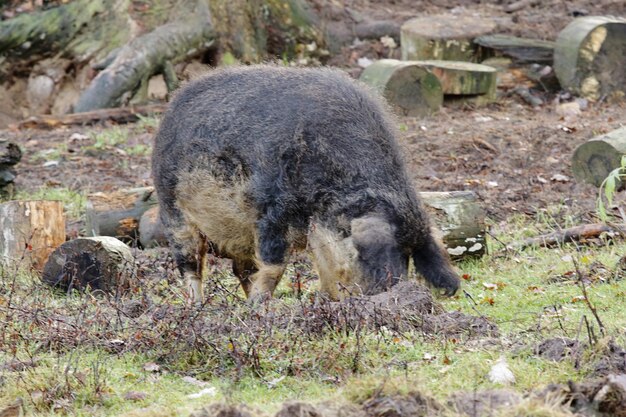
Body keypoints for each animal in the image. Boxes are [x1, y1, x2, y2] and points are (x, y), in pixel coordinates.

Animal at [149, 63, 456, 300]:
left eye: (408, 254)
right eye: (383, 253)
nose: (391, 294)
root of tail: (174, 104)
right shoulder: (272, 208)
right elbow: (275, 265)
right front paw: (262, 309)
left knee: (242, 269)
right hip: (172, 208)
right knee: (191, 265)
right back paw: (198, 307)